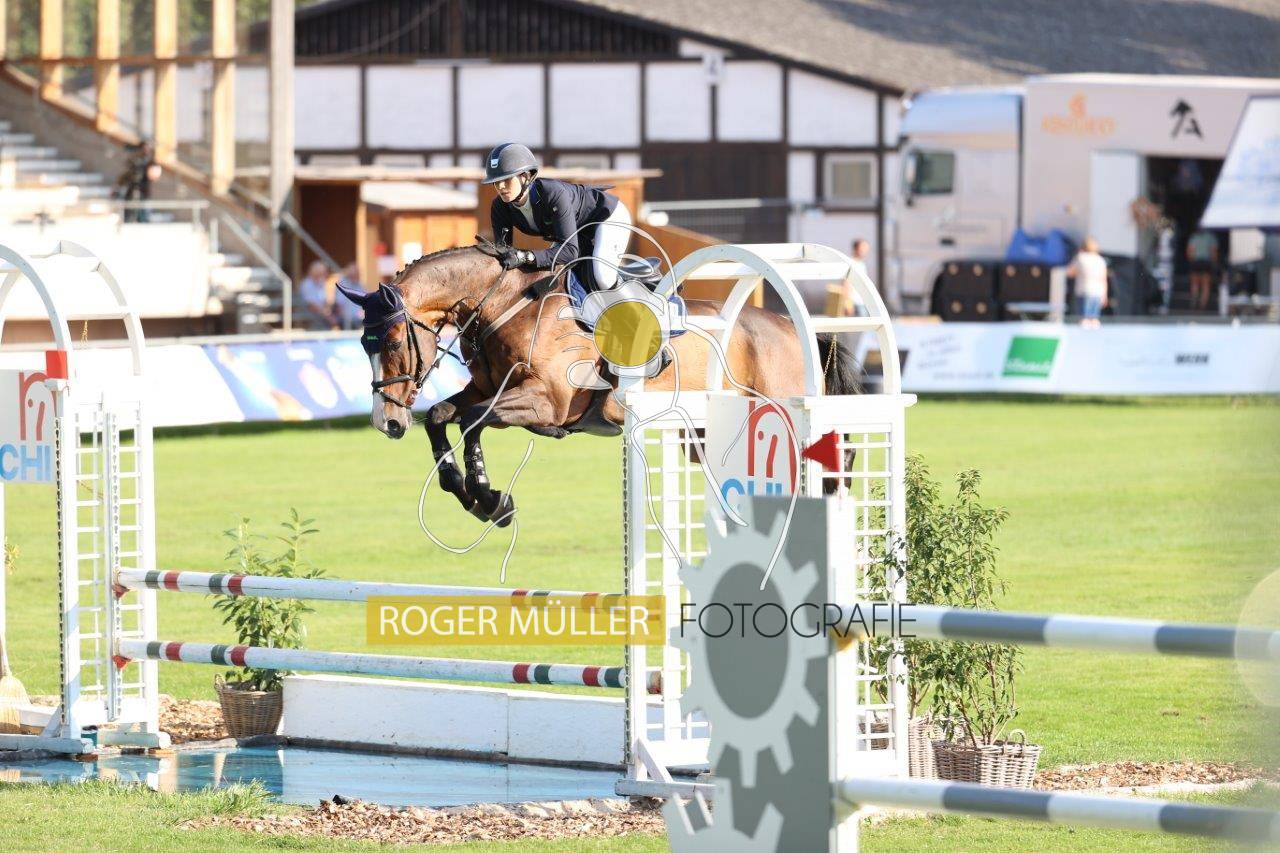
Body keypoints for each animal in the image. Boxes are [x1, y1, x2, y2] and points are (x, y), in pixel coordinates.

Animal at [337, 245, 861, 526]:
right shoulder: (489, 391)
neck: (504, 305)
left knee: (834, 453)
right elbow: (442, 417)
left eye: (391, 340)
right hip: (704, 436)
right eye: (362, 343)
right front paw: (474, 497)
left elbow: (468, 421)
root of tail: (790, 328)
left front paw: (489, 497)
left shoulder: (545, 404)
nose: (387, 421)